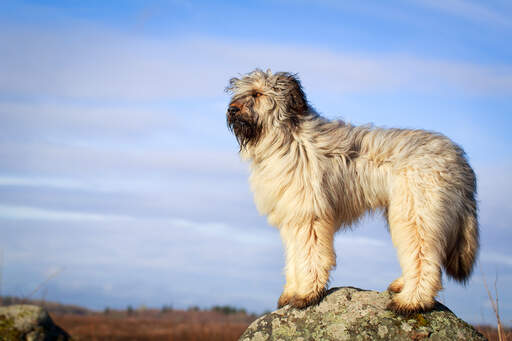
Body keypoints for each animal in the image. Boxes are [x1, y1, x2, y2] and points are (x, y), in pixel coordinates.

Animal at [226, 68, 478, 314]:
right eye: (239, 92)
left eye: (257, 93)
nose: (231, 109)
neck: (286, 140)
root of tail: (459, 158)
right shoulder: (292, 217)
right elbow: (294, 256)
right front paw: (291, 292)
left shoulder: (310, 215)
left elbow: (310, 255)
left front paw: (307, 294)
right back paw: (402, 285)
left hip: (416, 213)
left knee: (424, 258)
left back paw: (412, 301)